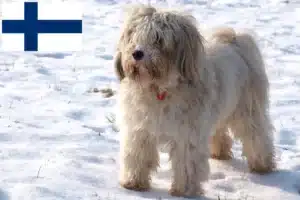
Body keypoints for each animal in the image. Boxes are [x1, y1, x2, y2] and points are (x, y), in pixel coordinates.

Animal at [113, 3, 276, 198]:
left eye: (158, 39)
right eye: (134, 36)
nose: (137, 53)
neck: (160, 90)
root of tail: (234, 39)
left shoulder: (187, 135)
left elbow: (186, 164)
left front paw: (184, 190)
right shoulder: (140, 130)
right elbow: (137, 155)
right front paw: (133, 182)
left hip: (247, 109)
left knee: (256, 134)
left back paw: (262, 164)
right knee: (220, 131)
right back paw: (219, 152)